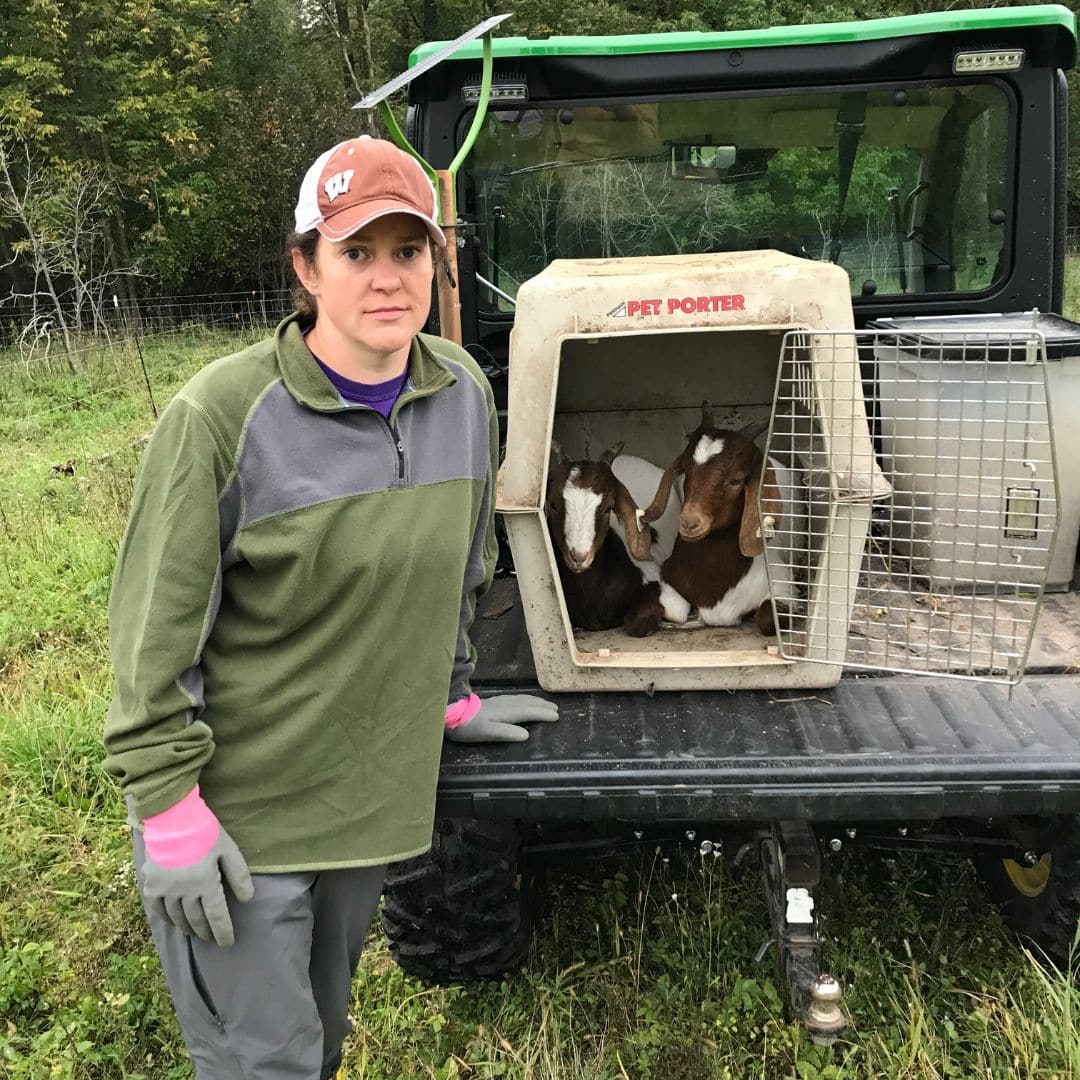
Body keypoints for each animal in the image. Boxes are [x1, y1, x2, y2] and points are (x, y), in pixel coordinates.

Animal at [630, 408, 803, 635]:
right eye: (686, 471)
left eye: (737, 480)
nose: (689, 523)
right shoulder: (667, 577)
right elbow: (647, 619)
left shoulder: (783, 587)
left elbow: (767, 619)